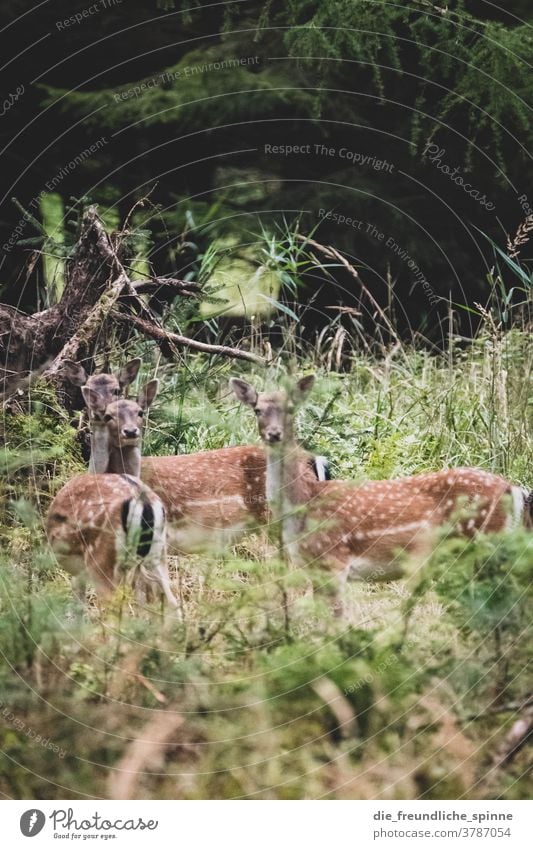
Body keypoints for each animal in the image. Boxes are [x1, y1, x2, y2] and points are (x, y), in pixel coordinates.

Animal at [230, 374, 532, 612]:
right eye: (257, 409)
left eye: (291, 409)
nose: (274, 433)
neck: (303, 503)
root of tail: (514, 488)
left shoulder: (334, 560)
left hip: (484, 542)